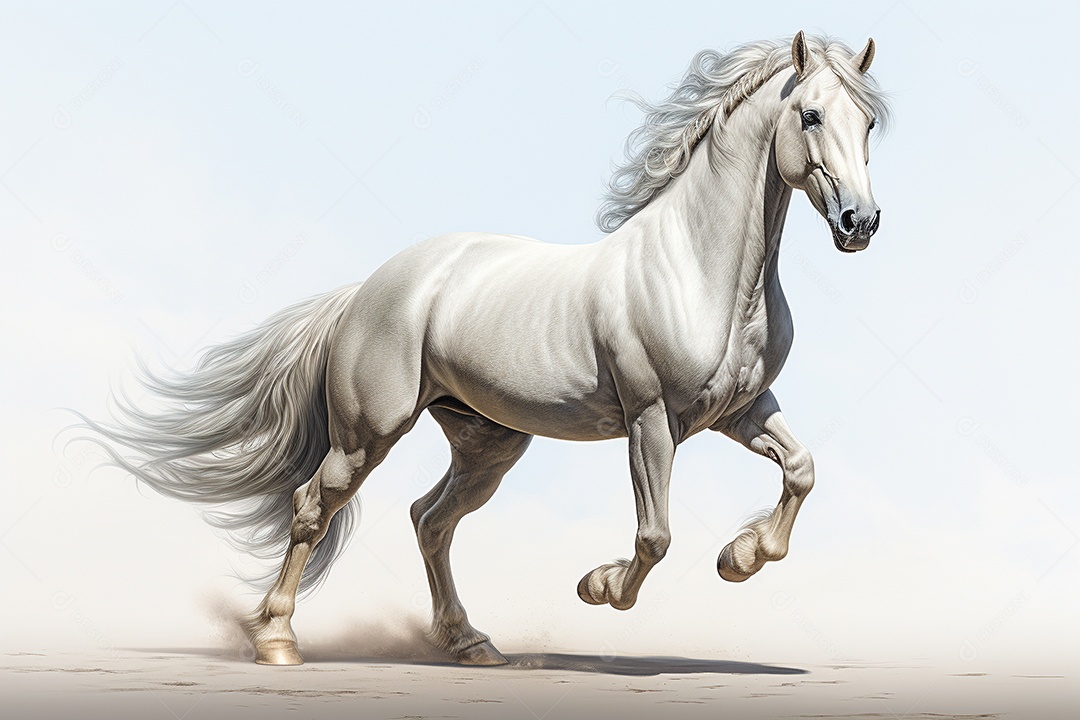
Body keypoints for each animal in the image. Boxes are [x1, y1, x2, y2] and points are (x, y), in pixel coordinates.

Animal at [84, 32, 889, 666]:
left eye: (870, 122)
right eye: (811, 114)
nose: (860, 222)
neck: (698, 270)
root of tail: (369, 290)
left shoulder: (741, 410)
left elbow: (802, 471)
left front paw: (740, 557)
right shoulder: (651, 418)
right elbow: (655, 535)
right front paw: (599, 586)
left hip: (488, 444)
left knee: (430, 519)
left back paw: (470, 644)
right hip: (368, 433)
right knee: (315, 505)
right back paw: (277, 642)